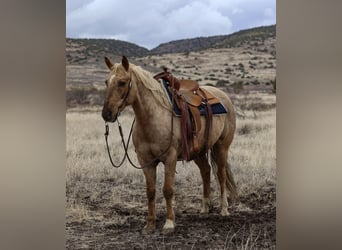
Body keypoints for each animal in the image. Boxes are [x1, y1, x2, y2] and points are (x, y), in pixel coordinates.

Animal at [101, 55, 238, 233]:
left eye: (122, 82)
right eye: (106, 82)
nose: (107, 113)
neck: (153, 118)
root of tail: (223, 96)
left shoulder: (170, 158)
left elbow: (168, 190)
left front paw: (169, 222)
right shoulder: (145, 161)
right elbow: (150, 191)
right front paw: (150, 224)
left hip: (221, 148)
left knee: (221, 176)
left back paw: (224, 209)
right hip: (198, 151)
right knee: (206, 171)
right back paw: (205, 208)